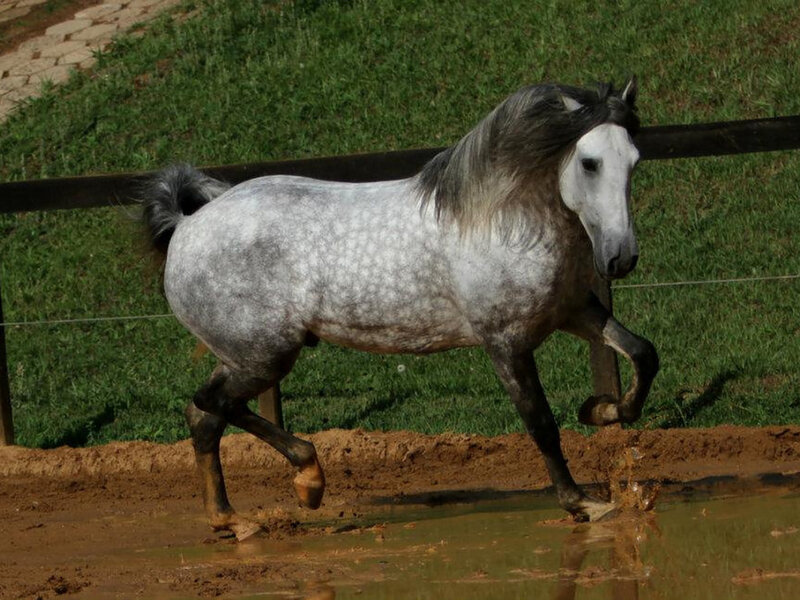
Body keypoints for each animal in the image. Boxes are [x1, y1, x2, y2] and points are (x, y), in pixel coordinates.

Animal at [140, 78, 658, 540]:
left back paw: (232, 520)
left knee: (204, 417)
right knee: (213, 404)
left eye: (634, 160)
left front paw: (602, 409)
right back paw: (308, 480)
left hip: (244, 356)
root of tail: (186, 226)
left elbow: (643, 354)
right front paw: (583, 504)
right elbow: (542, 424)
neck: (502, 219)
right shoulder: (505, 343)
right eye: (589, 163)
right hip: (265, 355)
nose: (621, 258)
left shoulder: (573, 311)